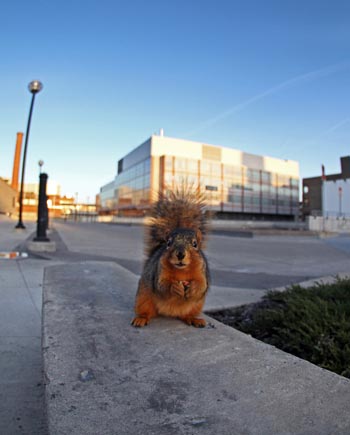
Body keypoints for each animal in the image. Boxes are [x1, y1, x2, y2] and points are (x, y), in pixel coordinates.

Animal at [132, 189, 211, 328]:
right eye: (168, 243)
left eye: (195, 244)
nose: (180, 254)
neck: (182, 270)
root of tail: (170, 312)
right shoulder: (159, 270)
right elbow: (162, 286)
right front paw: (175, 287)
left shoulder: (201, 272)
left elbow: (201, 285)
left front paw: (193, 288)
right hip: (143, 298)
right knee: (147, 311)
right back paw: (141, 318)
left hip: (196, 305)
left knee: (186, 315)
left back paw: (195, 319)